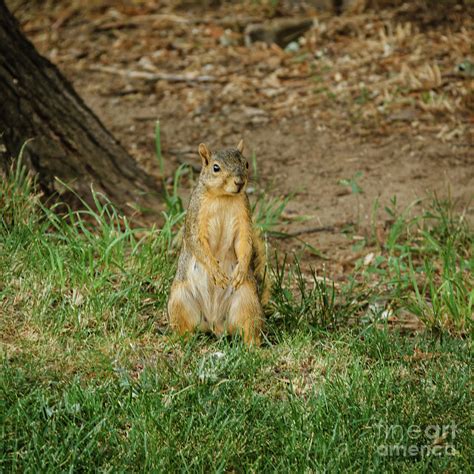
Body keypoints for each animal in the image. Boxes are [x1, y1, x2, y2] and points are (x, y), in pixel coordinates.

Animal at [168, 140, 268, 344]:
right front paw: (216, 271)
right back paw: (182, 341)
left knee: (248, 327)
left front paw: (241, 269)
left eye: (246, 164)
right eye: (216, 168)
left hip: (248, 301)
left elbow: (244, 242)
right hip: (180, 300)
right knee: (185, 327)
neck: (223, 197)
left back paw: (253, 345)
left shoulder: (244, 215)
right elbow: (197, 243)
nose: (240, 182)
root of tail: (215, 324)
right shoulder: (196, 216)